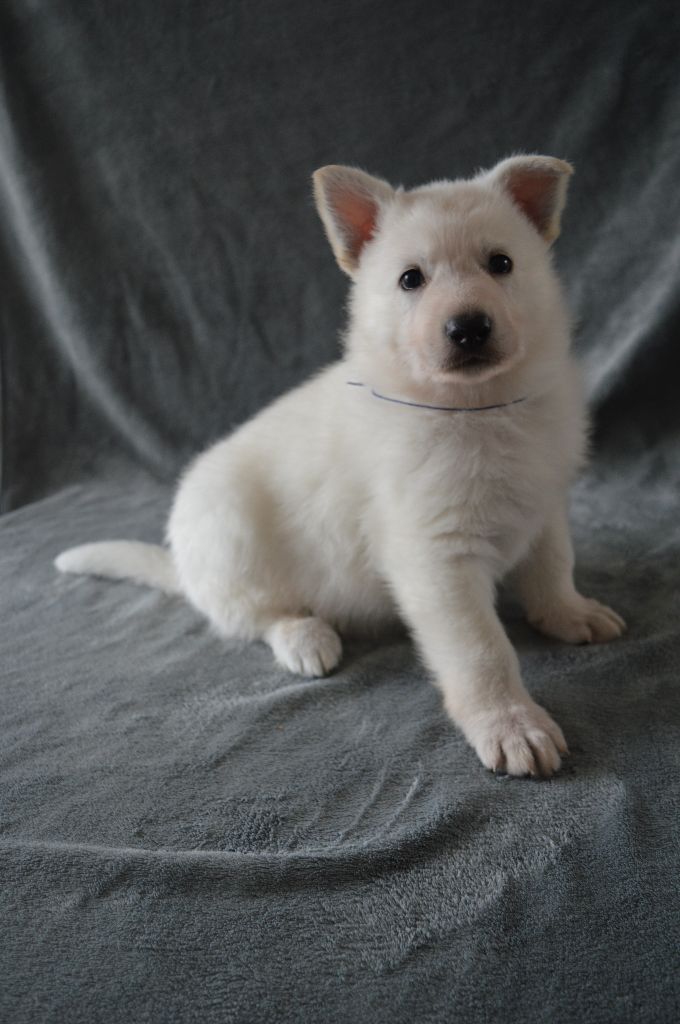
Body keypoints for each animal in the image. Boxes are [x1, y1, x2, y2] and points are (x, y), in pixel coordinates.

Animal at [56, 155, 625, 777]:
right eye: (411, 280)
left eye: (501, 263)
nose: (468, 327)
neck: (478, 406)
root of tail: (183, 569)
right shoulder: (436, 557)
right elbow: (482, 649)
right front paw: (511, 724)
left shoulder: (544, 504)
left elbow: (553, 568)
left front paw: (571, 613)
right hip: (232, 538)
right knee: (256, 616)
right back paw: (307, 639)